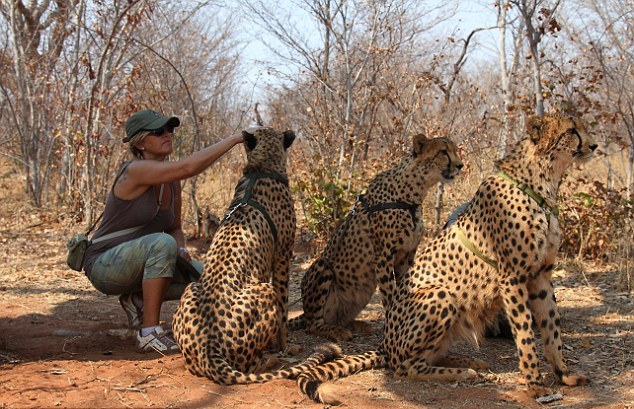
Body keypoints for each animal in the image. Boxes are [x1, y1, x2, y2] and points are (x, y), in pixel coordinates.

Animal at [170, 126, 338, 382]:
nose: (290, 131)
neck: (262, 169)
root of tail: (209, 348)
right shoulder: (282, 255)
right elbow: (283, 308)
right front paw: (285, 346)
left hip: (191, 288)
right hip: (264, 292)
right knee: (248, 366)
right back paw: (270, 360)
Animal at [286, 132, 460, 340]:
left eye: (455, 150)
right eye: (443, 152)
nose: (460, 165)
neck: (414, 190)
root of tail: (304, 311)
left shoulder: (405, 256)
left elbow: (404, 291)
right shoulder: (383, 256)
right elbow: (390, 295)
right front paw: (394, 326)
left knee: (336, 317)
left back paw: (356, 325)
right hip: (323, 266)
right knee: (313, 325)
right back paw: (336, 331)